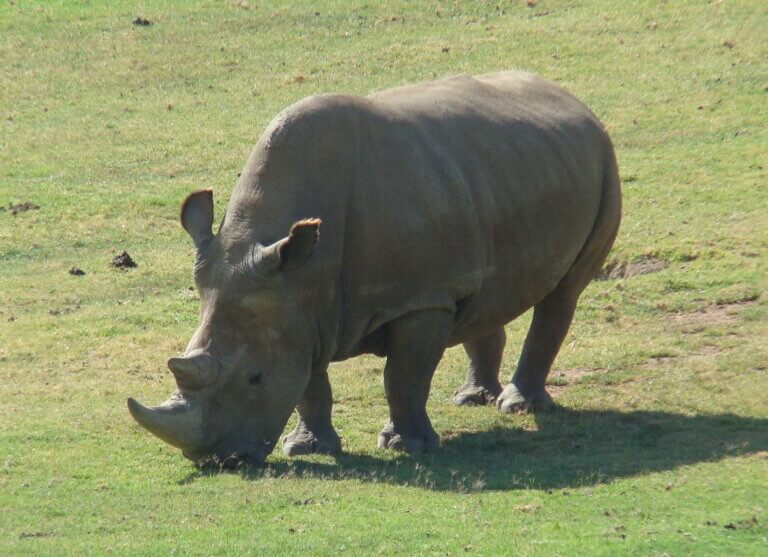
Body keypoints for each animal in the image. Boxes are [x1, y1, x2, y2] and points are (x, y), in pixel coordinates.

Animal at [128, 71, 621, 466]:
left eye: (255, 378)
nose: (217, 459)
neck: (301, 276)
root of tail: (573, 99)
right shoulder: (297, 306)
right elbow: (309, 383)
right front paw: (307, 449)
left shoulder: (419, 300)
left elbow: (403, 376)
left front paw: (407, 448)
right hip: (499, 174)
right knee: (481, 295)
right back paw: (472, 399)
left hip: (604, 161)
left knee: (563, 294)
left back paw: (520, 407)